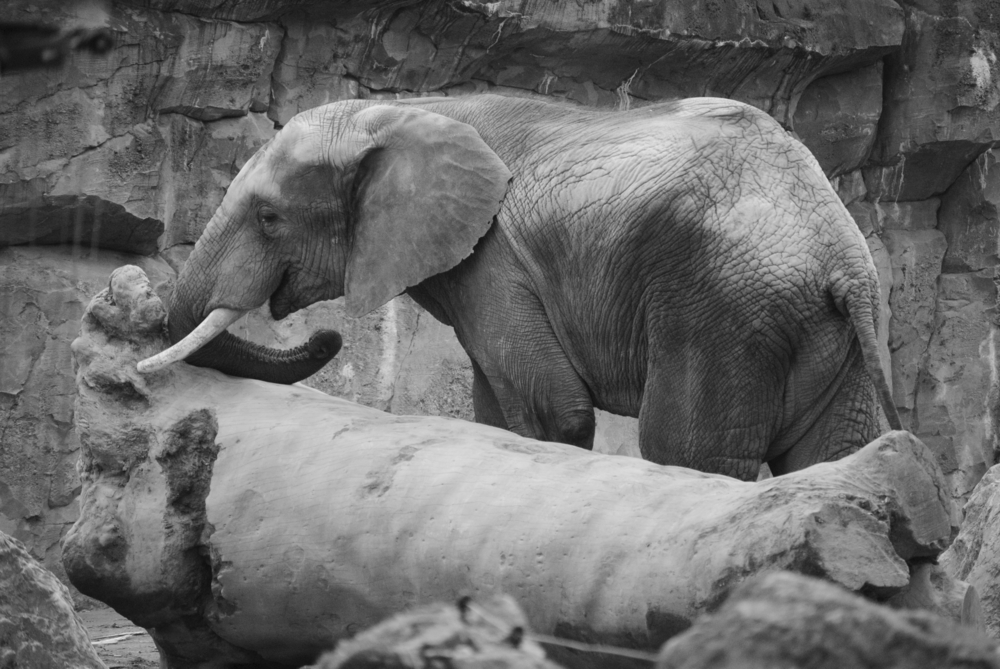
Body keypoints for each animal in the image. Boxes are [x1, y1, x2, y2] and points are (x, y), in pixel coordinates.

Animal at [141, 94, 900, 480]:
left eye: (269, 218)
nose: (327, 336)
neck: (399, 111)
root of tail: (844, 257)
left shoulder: (494, 257)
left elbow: (547, 411)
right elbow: (496, 413)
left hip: (723, 305)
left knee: (685, 453)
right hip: (814, 326)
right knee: (833, 459)